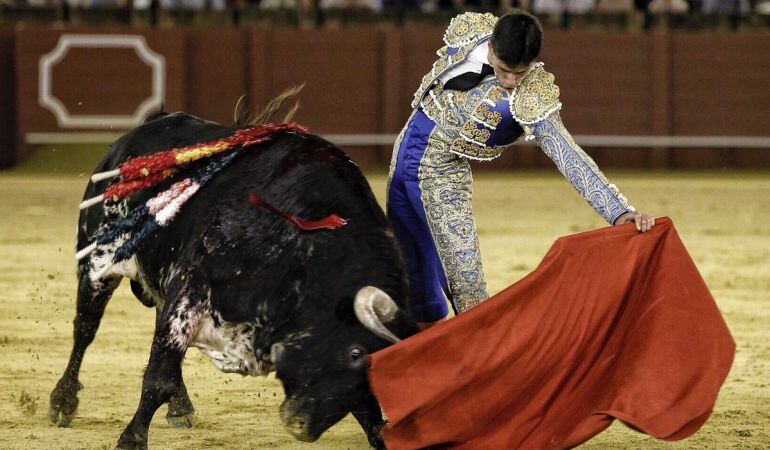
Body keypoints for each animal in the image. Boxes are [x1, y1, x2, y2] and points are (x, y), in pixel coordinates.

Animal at [46, 110, 420, 450]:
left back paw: (179, 406)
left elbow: (370, 413)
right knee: (85, 329)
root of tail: (147, 127)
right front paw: (131, 440)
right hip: (97, 262)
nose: (302, 426)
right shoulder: (191, 286)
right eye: (355, 353)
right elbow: (156, 378)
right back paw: (63, 401)